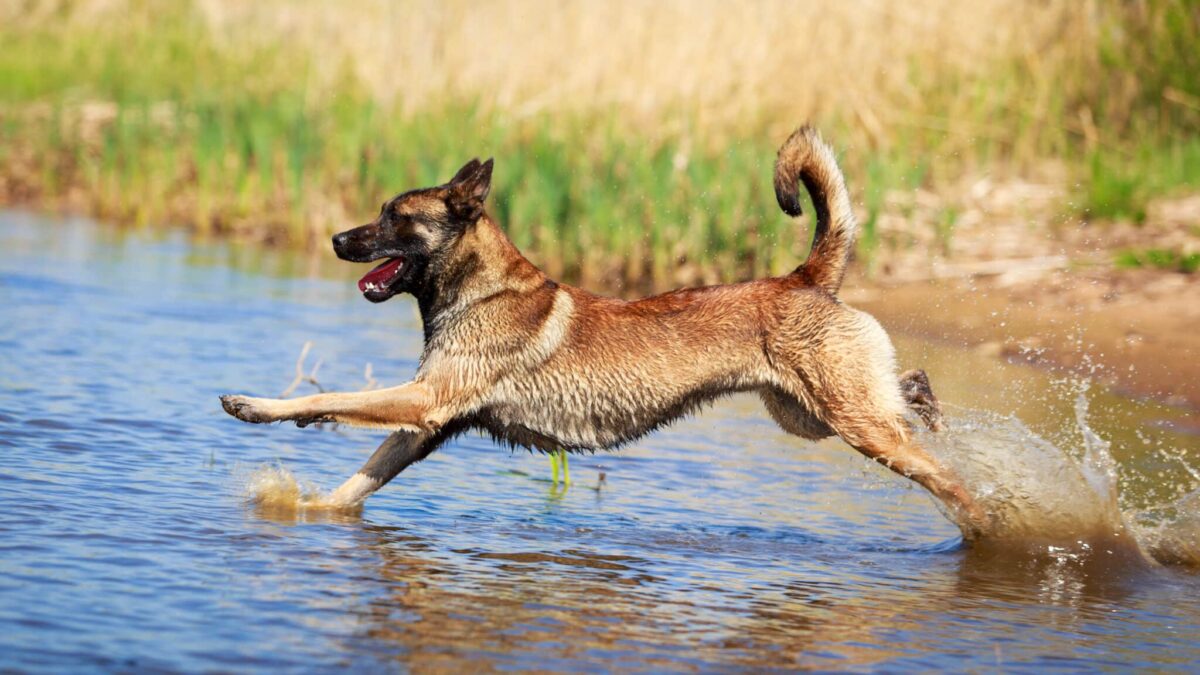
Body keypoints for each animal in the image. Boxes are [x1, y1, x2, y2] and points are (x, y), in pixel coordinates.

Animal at [220, 126, 988, 535]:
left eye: (393, 216)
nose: (335, 238)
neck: (479, 288)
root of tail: (806, 277)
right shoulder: (428, 424)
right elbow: (356, 483)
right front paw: (305, 509)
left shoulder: (425, 401)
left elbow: (325, 399)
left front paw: (255, 406)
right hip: (811, 414)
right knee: (909, 388)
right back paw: (933, 411)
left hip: (848, 420)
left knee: (940, 472)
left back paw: (986, 520)